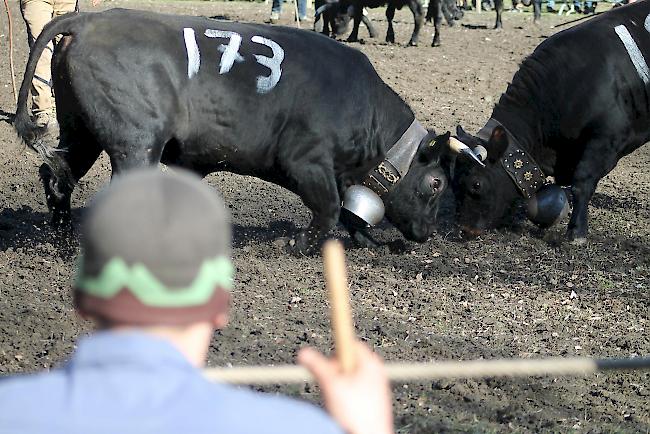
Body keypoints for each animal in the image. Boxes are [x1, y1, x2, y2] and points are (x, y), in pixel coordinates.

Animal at [448, 1, 648, 242]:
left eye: (476, 184)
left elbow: (582, 182)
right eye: (453, 182)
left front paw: (576, 232)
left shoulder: (606, 137)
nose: (462, 230)